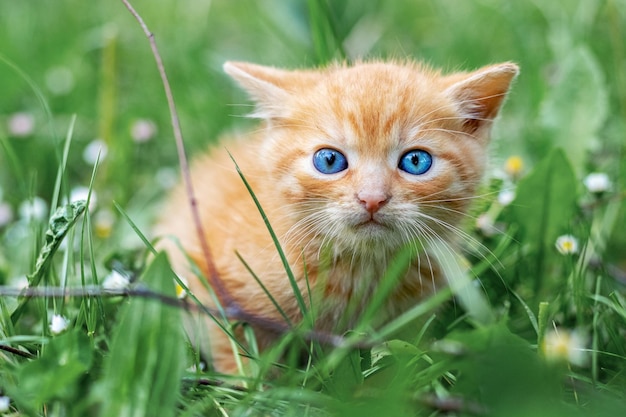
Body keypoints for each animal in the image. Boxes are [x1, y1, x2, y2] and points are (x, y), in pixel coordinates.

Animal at [156, 57, 516, 370]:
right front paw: (255, 388)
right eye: (329, 160)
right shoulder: (213, 281)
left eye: (416, 161)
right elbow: (240, 354)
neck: (362, 268)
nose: (372, 199)